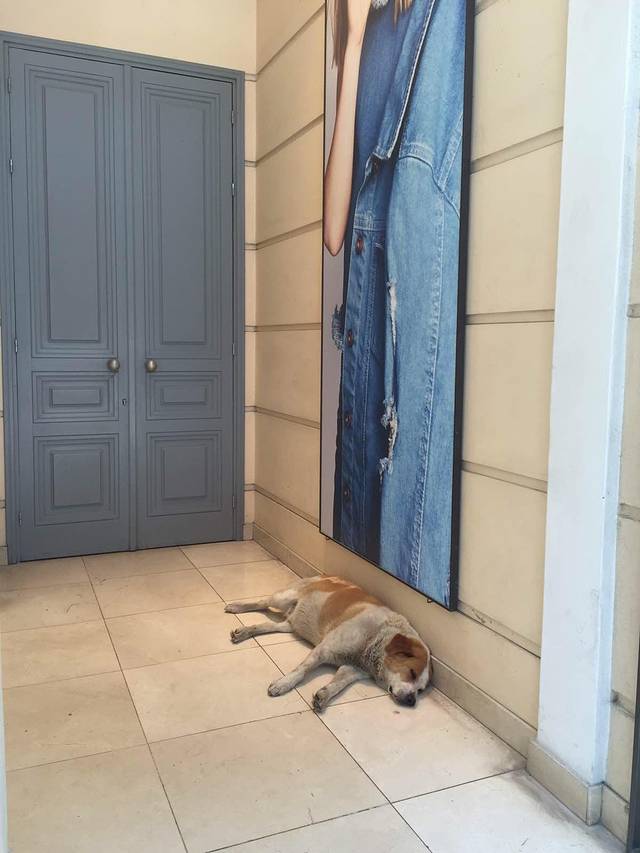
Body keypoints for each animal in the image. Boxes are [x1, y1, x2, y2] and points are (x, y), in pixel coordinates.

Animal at [225, 575, 432, 712]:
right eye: (412, 673)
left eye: (421, 690)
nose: (412, 701)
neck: (375, 639)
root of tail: (324, 575)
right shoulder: (324, 650)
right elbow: (302, 670)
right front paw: (284, 684)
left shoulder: (352, 669)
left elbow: (338, 684)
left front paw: (324, 695)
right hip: (283, 598)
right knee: (261, 602)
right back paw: (237, 607)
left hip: (291, 625)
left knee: (267, 625)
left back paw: (244, 632)